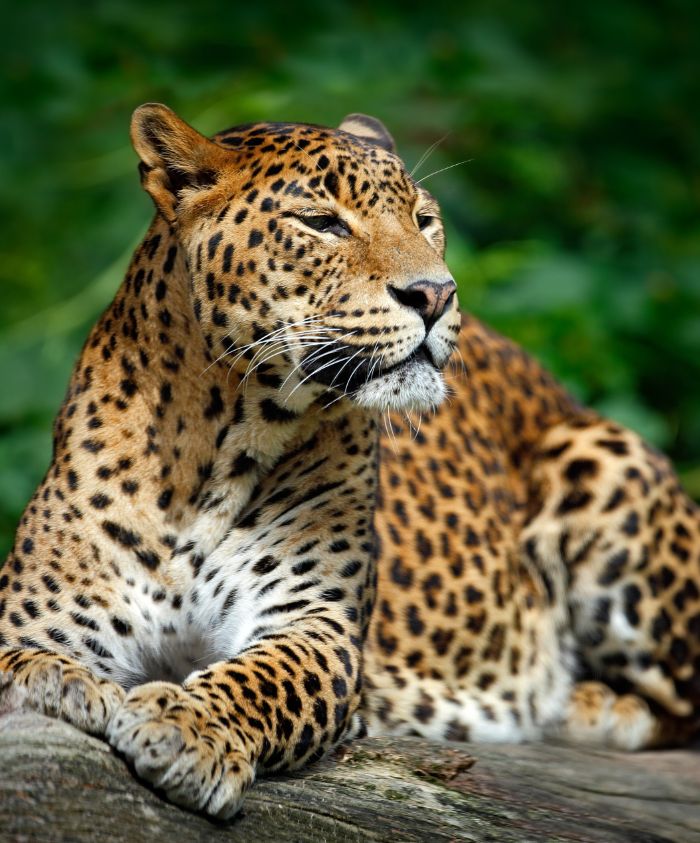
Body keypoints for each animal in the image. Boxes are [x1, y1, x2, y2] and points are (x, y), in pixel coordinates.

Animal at [0, 104, 698, 820]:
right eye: (322, 222)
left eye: (424, 219)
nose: (437, 294)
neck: (212, 448)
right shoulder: (39, 616)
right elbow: (21, 660)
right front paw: (61, 682)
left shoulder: (316, 625)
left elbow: (260, 680)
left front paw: (186, 726)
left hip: (604, 458)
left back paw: (587, 706)